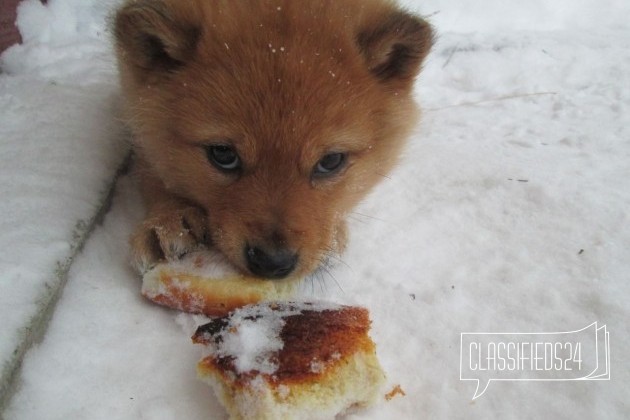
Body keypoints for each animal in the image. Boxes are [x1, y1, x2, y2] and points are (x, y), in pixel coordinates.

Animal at [115, 1, 434, 280]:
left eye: (331, 161)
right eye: (223, 154)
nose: (272, 263)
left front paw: (331, 236)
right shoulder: (138, 111)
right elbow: (155, 168)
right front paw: (170, 218)